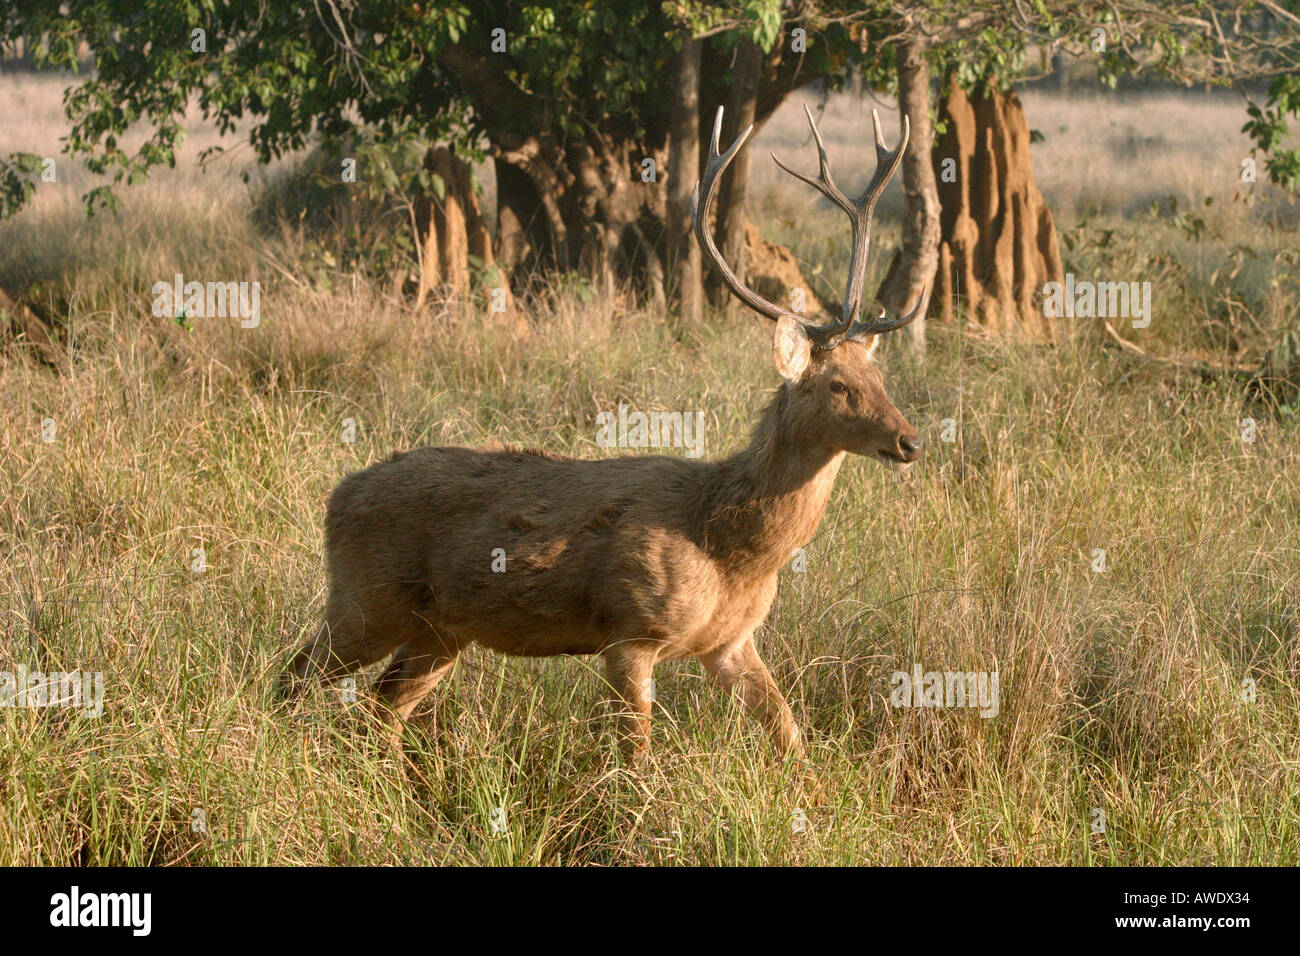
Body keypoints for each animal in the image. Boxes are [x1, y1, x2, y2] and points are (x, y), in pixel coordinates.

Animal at [278, 104, 920, 764]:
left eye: (879, 376)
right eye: (838, 385)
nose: (910, 441)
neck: (727, 548)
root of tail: (336, 496)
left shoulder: (731, 642)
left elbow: (789, 731)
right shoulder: (630, 628)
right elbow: (637, 756)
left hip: (439, 629)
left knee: (381, 708)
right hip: (363, 598)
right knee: (293, 678)